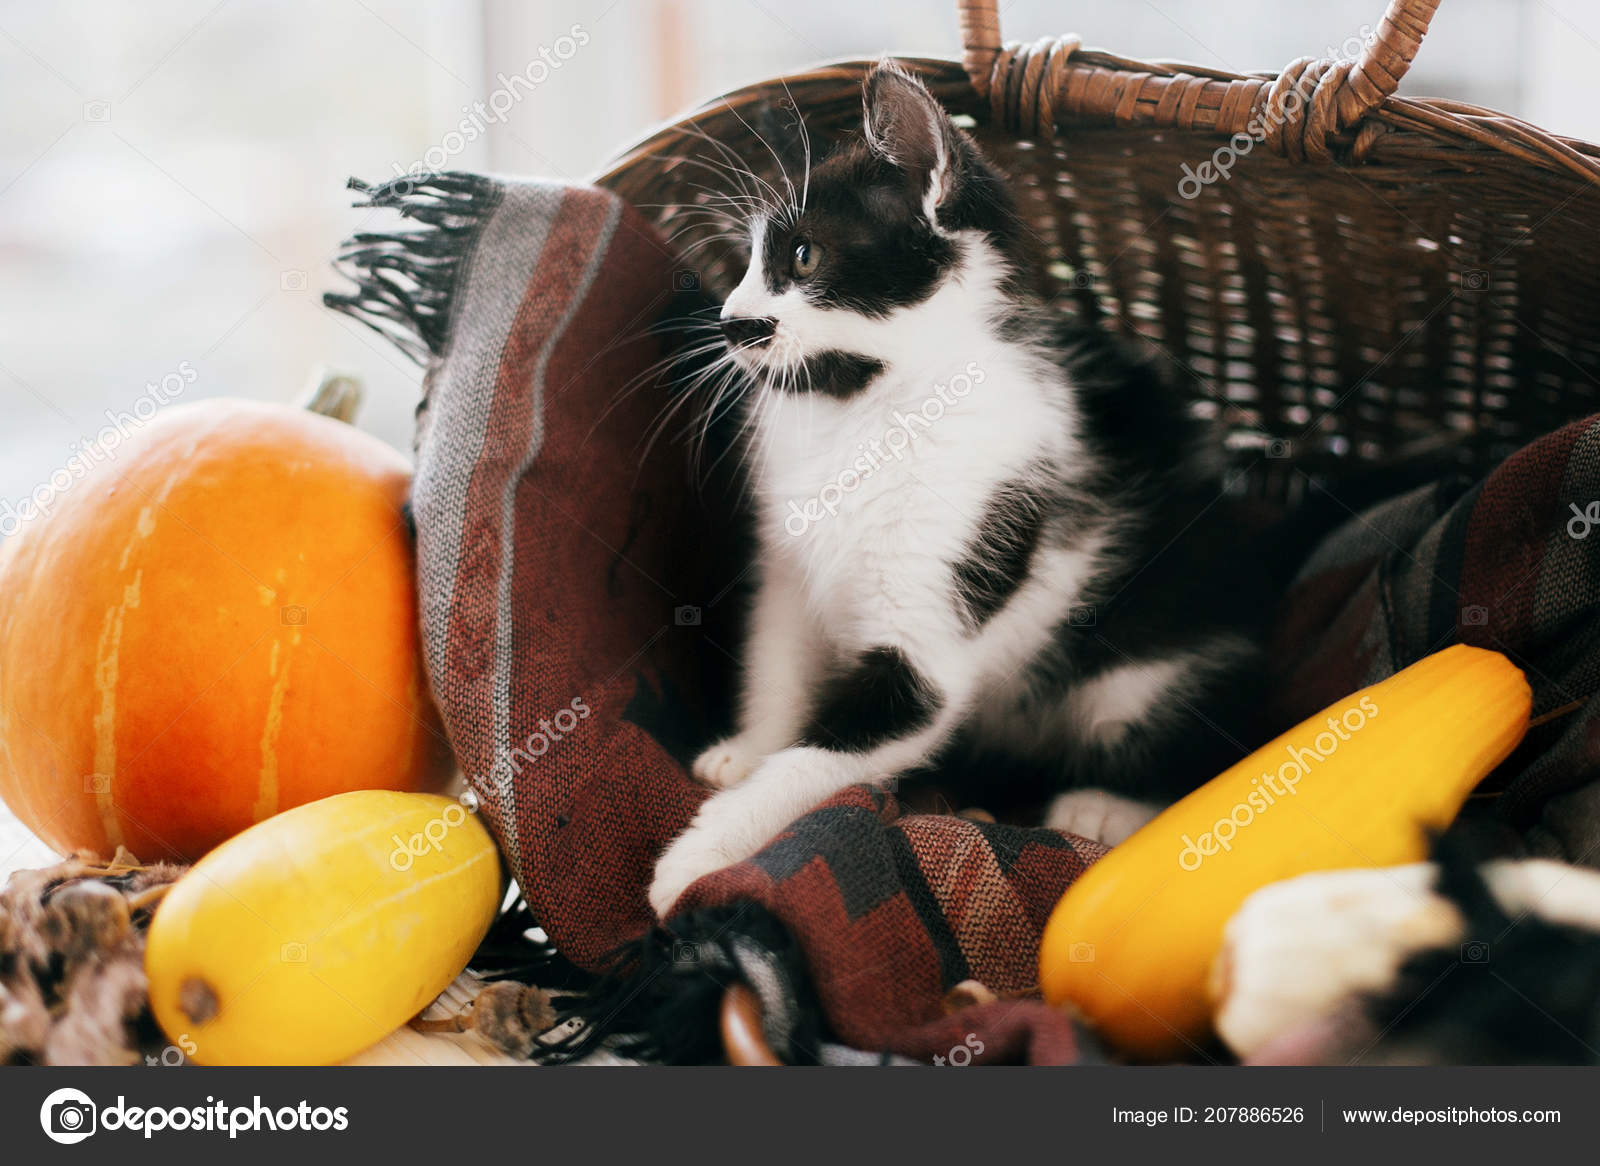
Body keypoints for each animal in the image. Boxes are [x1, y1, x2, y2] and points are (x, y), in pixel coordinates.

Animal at [649, 65, 1273, 921]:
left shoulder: (942, 612)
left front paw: (698, 858)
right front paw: (750, 750)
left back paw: (1105, 809)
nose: (729, 320)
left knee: (1197, 746)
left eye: (803, 256)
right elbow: (777, 659)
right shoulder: (786, 570)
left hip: (1156, 661)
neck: (868, 411)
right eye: (745, 264)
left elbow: (825, 757)